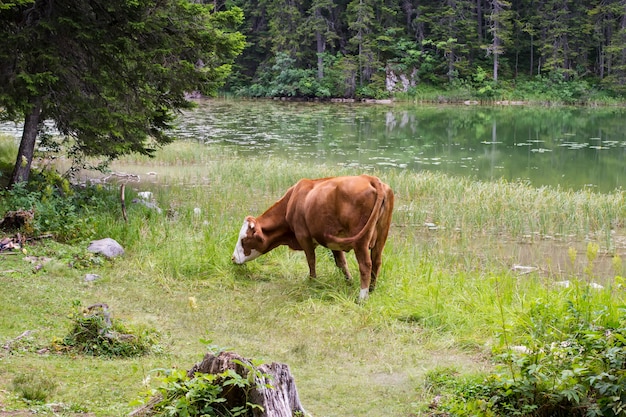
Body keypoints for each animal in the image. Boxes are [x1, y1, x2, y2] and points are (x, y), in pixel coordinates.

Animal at [232, 173, 392, 300]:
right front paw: (349, 281)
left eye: (244, 239)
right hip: (381, 237)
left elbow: (311, 260)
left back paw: (362, 296)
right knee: (376, 261)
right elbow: (341, 263)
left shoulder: (303, 237)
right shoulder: (333, 243)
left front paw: (312, 281)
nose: (233, 258)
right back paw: (371, 289)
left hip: (361, 241)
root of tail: (369, 178)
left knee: (365, 264)